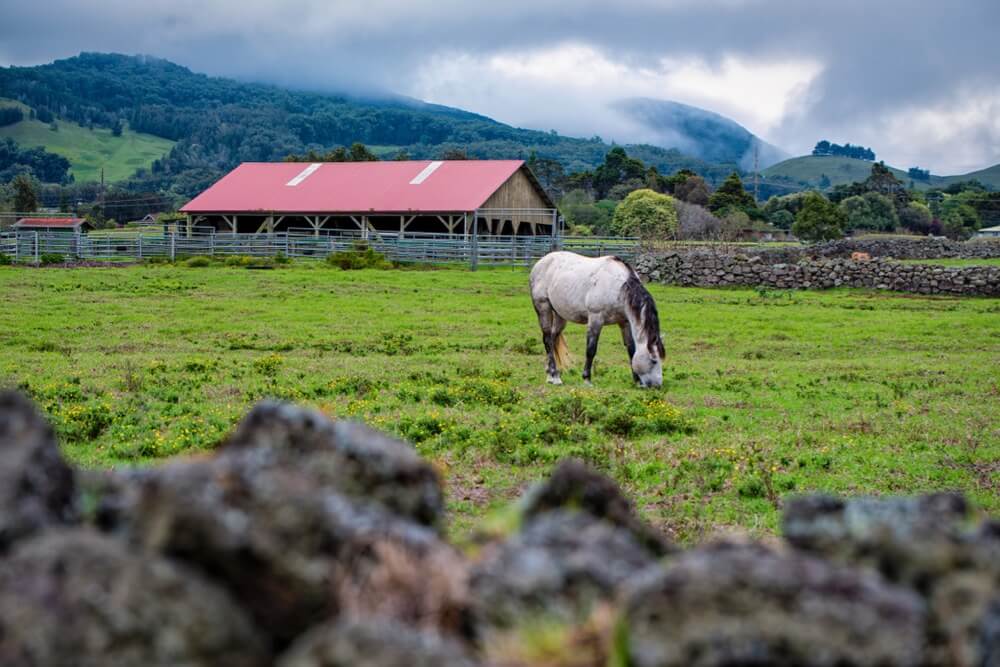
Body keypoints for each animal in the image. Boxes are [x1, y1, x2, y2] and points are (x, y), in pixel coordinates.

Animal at [532, 250, 664, 386]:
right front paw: (587, 379)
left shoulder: (624, 322)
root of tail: (541, 261)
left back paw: (550, 375)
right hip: (543, 308)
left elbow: (631, 349)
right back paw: (554, 376)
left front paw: (637, 380)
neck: (619, 287)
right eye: (653, 360)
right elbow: (591, 349)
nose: (658, 385)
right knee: (547, 340)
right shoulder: (596, 319)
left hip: (560, 316)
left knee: (553, 339)